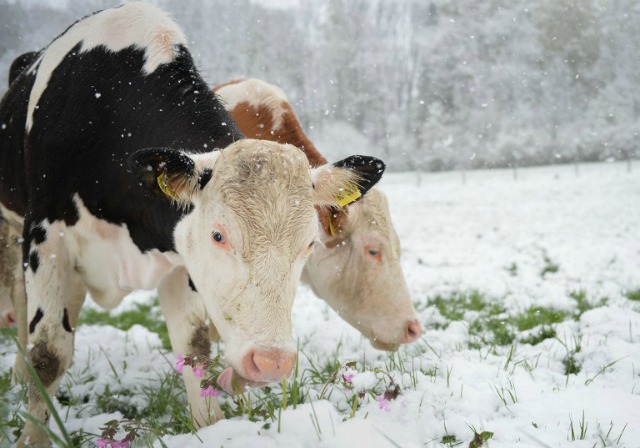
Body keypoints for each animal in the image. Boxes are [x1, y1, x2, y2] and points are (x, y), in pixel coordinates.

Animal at [0, 3, 384, 444]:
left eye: (309, 244)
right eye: (218, 235)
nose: (271, 362)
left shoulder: (180, 259)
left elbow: (195, 348)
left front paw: (211, 427)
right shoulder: (46, 238)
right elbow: (48, 352)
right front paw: (32, 436)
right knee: (21, 302)